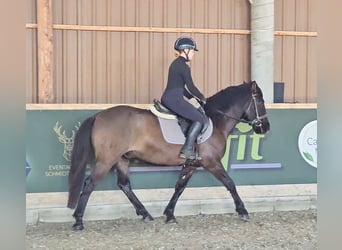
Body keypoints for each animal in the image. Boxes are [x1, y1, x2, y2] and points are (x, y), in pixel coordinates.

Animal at [67, 80, 270, 230]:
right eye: (260, 101)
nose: (265, 128)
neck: (216, 120)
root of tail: (98, 116)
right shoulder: (212, 163)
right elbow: (230, 183)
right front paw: (243, 211)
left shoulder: (191, 164)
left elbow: (179, 187)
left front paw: (170, 214)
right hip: (106, 160)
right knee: (90, 184)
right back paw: (78, 221)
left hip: (122, 159)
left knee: (124, 185)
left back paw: (145, 214)